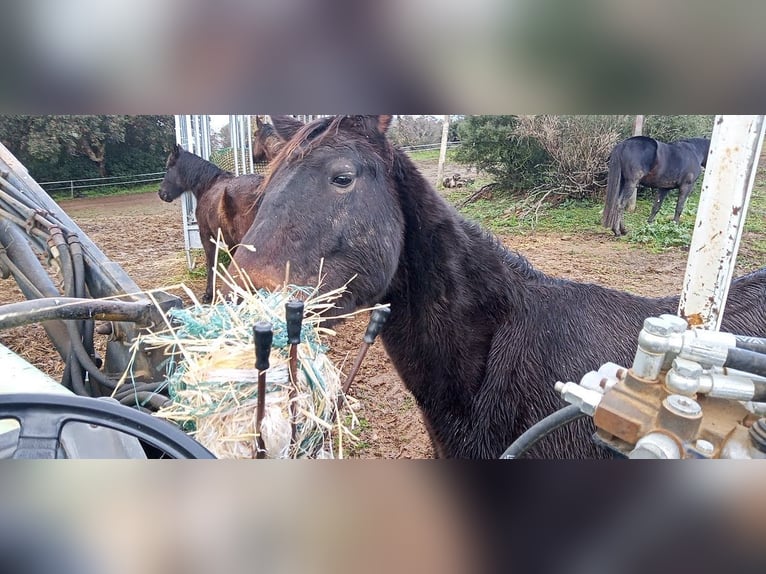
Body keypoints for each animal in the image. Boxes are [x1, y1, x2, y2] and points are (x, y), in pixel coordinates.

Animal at [158, 144, 266, 304]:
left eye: (168, 168)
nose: (161, 193)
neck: (208, 185)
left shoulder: (206, 235)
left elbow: (211, 263)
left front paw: (209, 294)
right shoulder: (230, 241)